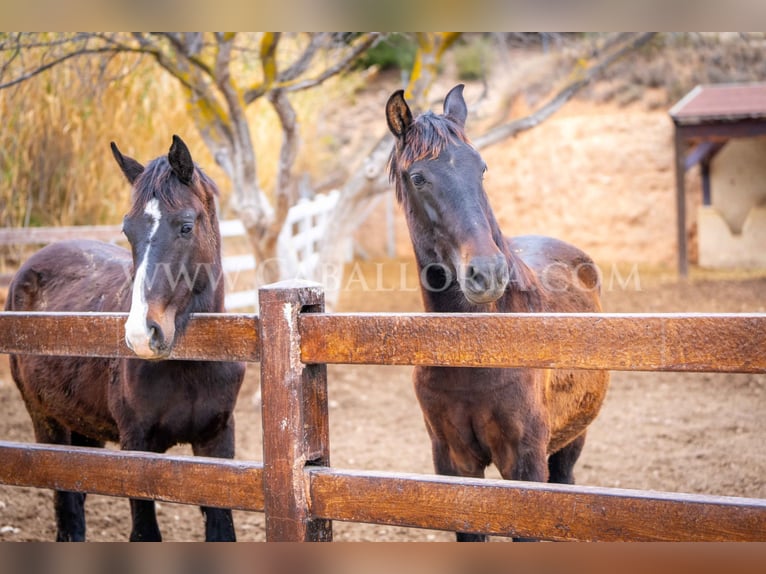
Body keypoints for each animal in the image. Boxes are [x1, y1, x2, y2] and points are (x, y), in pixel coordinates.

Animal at [5, 137, 246, 544]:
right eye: (127, 231)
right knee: (68, 512)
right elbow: (144, 532)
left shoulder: (217, 442)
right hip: (47, 422)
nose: (141, 335)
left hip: (83, 429)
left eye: (185, 226)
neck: (195, 362)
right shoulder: (136, 447)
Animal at [390, 85, 612, 544]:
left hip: (571, 441)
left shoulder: (524, 464)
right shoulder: (453, 462)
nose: (487, 272)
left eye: (481, 170)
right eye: (418, 177)